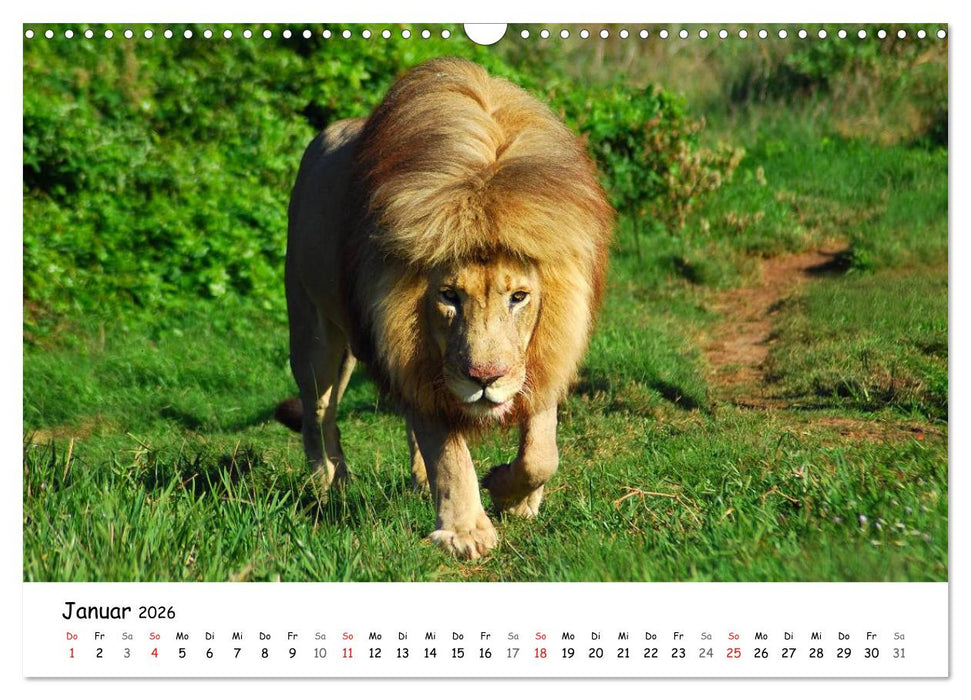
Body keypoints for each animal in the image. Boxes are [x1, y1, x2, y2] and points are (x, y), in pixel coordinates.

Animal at [279, 57, 612, 560]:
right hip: (314, 331)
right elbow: (449, 454)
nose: (485, 379)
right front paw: (465, 531)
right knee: (319, 412)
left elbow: (541, 454)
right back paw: (330, 479)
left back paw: (416, 481)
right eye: (449, 296)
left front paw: (512, 494)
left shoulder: (545, 354)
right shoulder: (410, 353)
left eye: (519, 297)